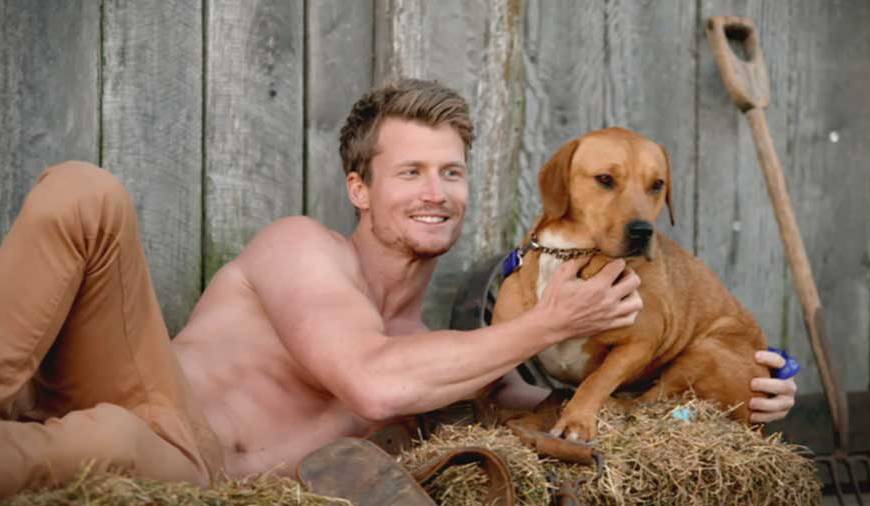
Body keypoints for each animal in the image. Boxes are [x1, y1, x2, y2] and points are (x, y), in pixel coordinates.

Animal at [492, 127, 770, 442]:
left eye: (657, 184)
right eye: (604, 179)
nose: (642, 231)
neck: (571, 252)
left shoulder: (640, 342)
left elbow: (598, 379)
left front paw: (577, 420)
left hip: (706, 351)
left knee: (650, 398)